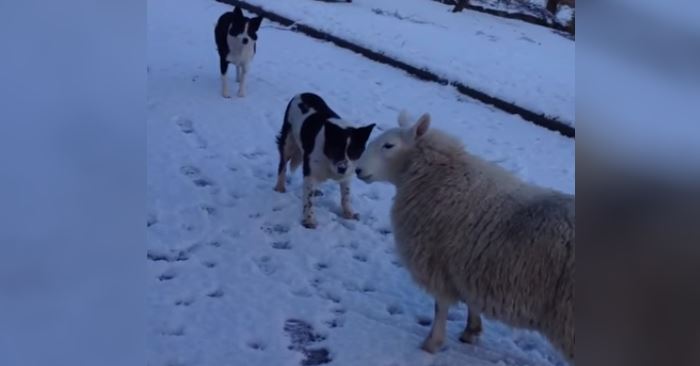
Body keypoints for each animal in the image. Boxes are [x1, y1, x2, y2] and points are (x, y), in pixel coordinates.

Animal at [274, 93, 378, 227]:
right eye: (336, 149)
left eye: (353, 152)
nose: (342, 168)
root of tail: (303, 93)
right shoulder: (311, 172)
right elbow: (309, 199)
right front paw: (309, 220)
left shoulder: (348, 173)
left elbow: (346, 195)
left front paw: (348, 213)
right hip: (288, 141)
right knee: (282, 164)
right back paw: (280, 186)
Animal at [356, 111, 576, 360]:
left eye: (389, 145)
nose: (357, 170)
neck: (437, 174)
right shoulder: (467, 263)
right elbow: (471, 300)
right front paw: (471, 330)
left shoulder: (437, 262)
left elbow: (440, 307)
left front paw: (431, 344)